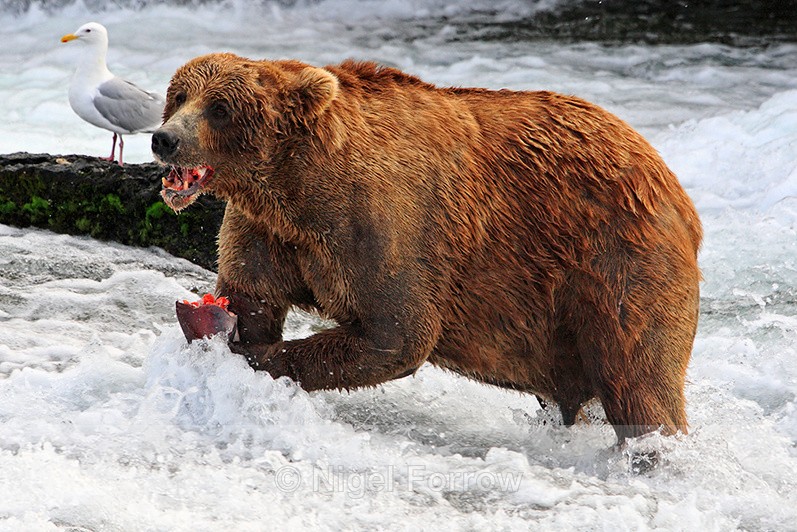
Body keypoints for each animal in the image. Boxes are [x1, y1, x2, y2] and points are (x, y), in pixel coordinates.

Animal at [152, 52, 702, 448]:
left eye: (220, 108)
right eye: (179, 95)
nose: (164, 139)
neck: (297, 186)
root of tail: (672, 181)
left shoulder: (384, 225)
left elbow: (396, 333)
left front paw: (260, 356)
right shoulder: (267, 229)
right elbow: (252, 296)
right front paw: (223, 331)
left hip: (615, 262)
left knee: (639, 381)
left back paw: (650, 452)